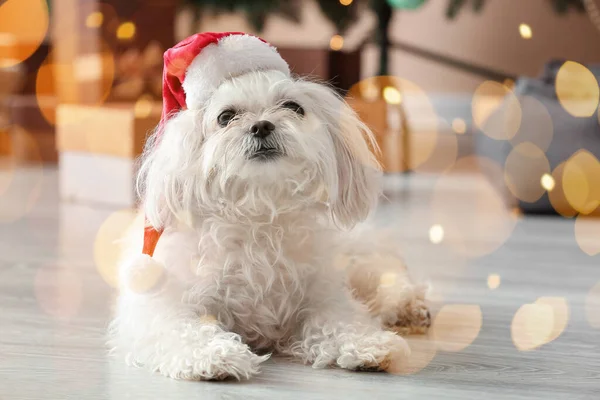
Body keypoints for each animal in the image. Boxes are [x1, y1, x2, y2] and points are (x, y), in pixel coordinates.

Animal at [109, 61, 432, 378]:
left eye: (293, 106)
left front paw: (367, 344)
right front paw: (214, 355)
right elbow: (181, 328)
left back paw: (410, 308)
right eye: (226, 117)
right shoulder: (161, 303)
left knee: (388, 277)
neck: (259, 214)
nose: (261, 125)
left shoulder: (323, 295)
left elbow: (340, 320)